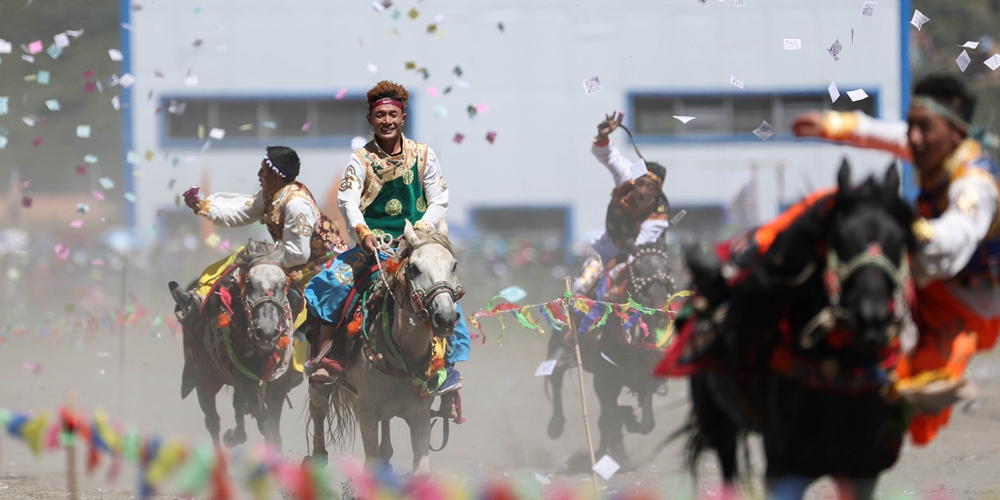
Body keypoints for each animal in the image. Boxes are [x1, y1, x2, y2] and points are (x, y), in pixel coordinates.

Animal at [170, 240, 302, 448]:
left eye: (283, 284)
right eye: (249, 283)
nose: (266, 332)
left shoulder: (279, 383)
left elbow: (274, 429)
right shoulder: (244, 379)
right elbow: (267, 423)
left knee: (236, 407)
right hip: (202, 376)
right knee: (212, 421)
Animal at [306, 221, 462, 474]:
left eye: (454, 265)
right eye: (414, 268)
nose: (446, 318)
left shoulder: (420, 415)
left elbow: (421, 471)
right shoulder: (366, 410)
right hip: (319, 381)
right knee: (318, 409)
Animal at [544, 236, 676, 470]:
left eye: (667, 268)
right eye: (637, 269)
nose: (659, 310)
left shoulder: (644, 379)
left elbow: (647, 423)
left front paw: (624, 432)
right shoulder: (604, 379)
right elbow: (608, 416)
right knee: (556, 378)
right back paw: (557, 426)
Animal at [680, 162, 916, 498]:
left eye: (898, 238)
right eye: (839, 237)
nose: (872, 319)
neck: (836, 375)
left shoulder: (862, 470)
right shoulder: (784, 470)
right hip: (717, 423)